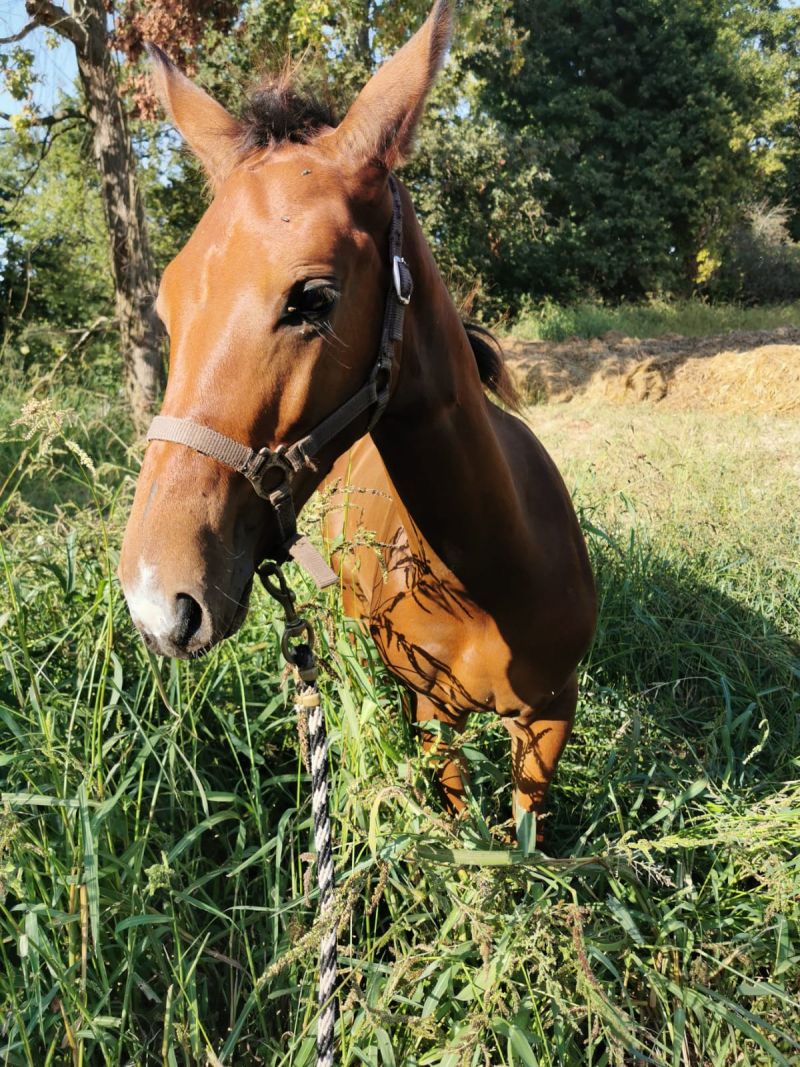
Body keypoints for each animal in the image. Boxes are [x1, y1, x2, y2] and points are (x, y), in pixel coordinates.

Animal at [117, 0, 597, 832]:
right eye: (170, 304)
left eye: (312, 297)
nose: (157, 602)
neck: (498, 576)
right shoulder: (436, 712)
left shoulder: (550, 716)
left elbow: (523, 833)